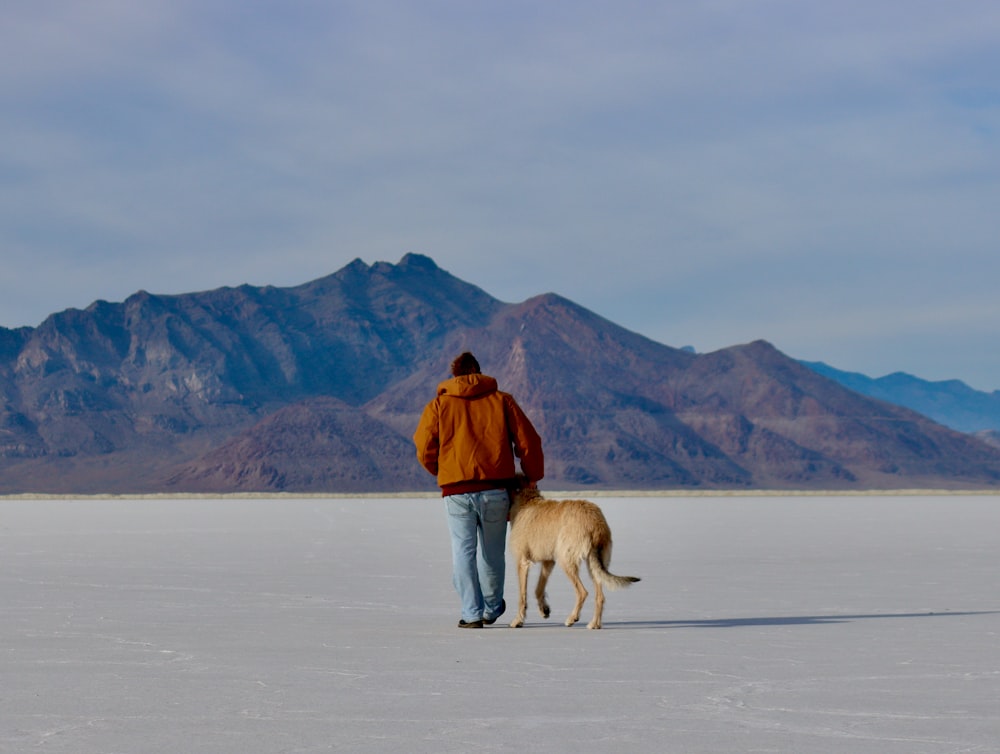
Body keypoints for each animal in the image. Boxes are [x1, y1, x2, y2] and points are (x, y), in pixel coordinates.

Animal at [508, 476, 640, 628]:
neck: (526, 500)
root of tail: (595, 523)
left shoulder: (522, 562)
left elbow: (522, 595)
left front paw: (518, 620)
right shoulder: (548, 561)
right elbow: (538, 589)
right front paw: (544, 610)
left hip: (566, 560)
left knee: (582, 592)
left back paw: (572, 618)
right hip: (594, 564)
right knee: (600, 596)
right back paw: (594, 624)